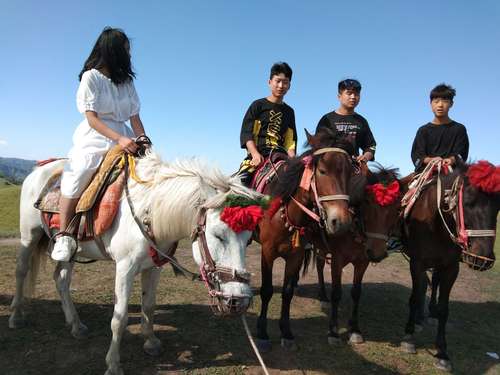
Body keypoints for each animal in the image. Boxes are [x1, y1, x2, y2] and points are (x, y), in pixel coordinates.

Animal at [8, 151, 262, 375]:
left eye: (249, 239)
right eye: (218, 235)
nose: (238, 301)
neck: (148, 213)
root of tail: (38, 170)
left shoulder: (154, 267)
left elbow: (148, 305)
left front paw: (151, 342)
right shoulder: (125, 269)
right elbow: (119, 318)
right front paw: (113, 364)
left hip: (71, 248)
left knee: (61, 280)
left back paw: (76, 325)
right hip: (29, 236)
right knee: (21, 271)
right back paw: (15, 316)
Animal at [254, 129, 356, 352]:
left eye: (349, 173)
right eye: (323, 171)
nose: (341, 222)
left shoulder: (296, 255)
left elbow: (287, 292)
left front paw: (286, 332)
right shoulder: (267, 252)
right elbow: (266, 291)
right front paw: (262, 333)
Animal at [316, 166, 402, 346]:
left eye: (397, 208)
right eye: (367, 201)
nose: (377, 252)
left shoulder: (363, 262)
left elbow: (356, 293)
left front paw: (355, 329)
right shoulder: (337, 260)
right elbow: (337, 293)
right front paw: (333, 331)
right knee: (320, 265)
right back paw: (323, 296)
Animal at [400, 160, 498, 372]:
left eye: (499, 206)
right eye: (468, 202)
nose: (482, 258)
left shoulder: (451, 268)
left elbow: (444, 309)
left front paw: (442, 353)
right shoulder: (417, 262)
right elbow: (414, 296)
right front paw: (409, 337)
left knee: (433, 282)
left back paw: (429, 312)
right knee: (423, 285)